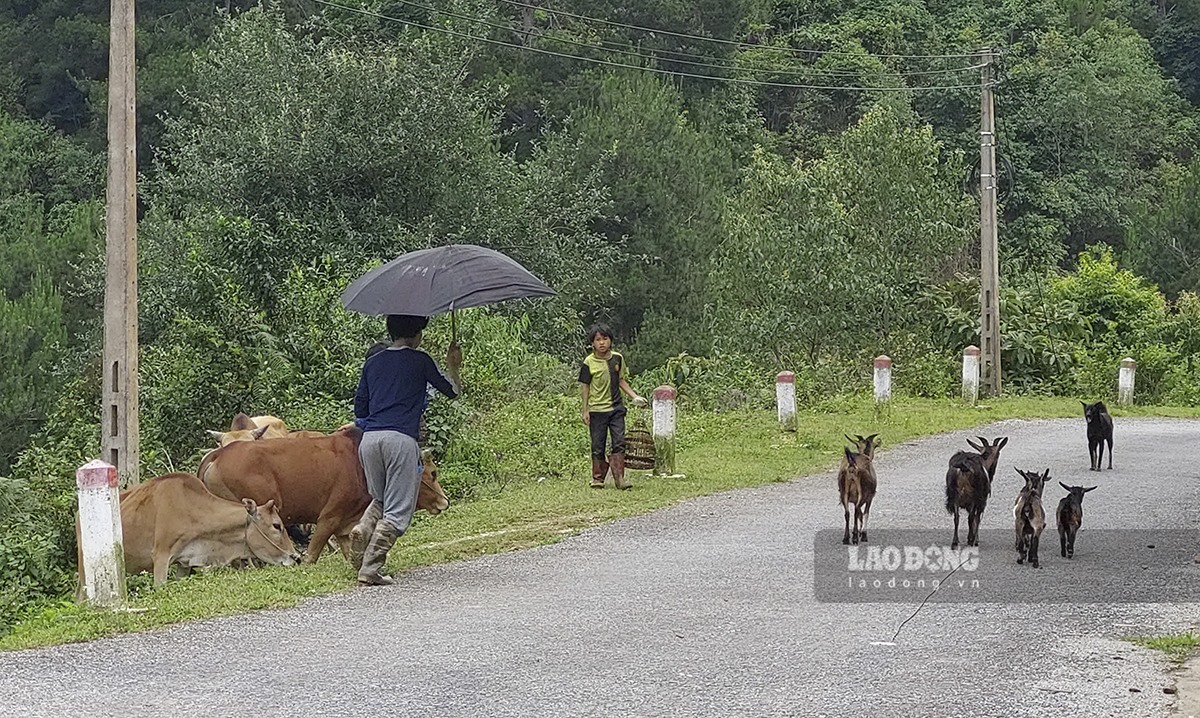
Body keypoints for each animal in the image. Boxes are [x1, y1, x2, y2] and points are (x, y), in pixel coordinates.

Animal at [199, 425, 448, 566]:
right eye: (433, 473)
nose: (444, 502)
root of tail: (216, 457)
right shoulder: (329, 517)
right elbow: (312, 555)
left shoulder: (345, 525)